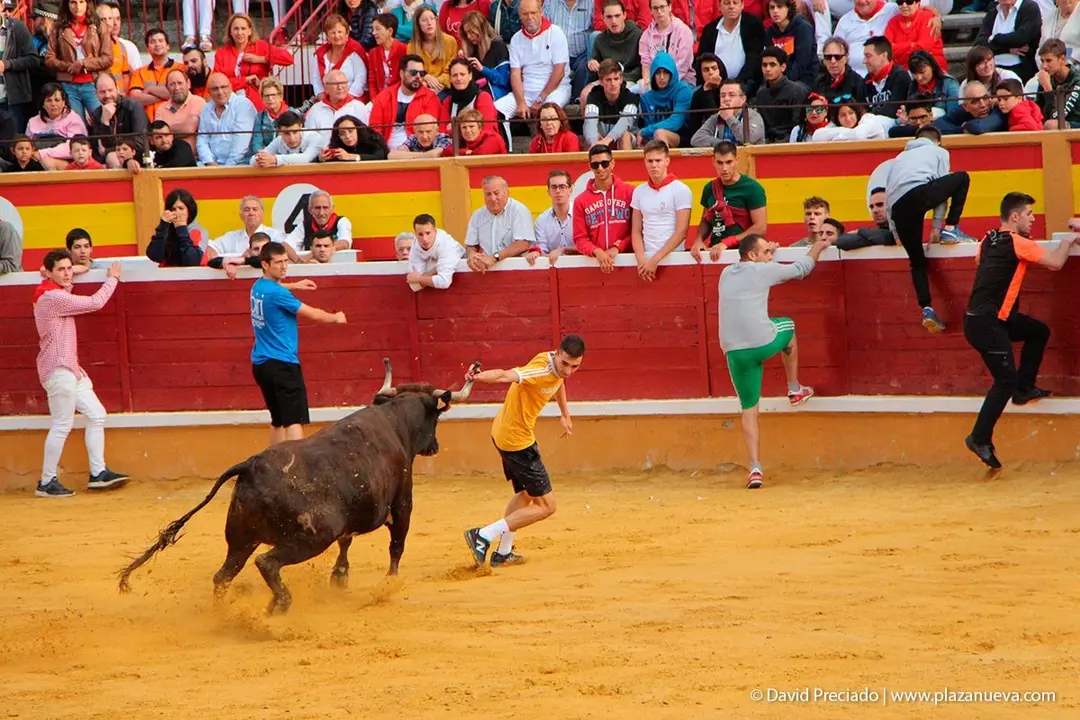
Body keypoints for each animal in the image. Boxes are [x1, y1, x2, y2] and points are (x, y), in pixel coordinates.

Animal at [117, 358, 479, 615]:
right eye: (436, 417)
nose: (434, 446)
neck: (395, 421)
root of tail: (250, 467)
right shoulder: (403, 500)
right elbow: (396, 545)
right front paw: (388, 585)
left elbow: (346, 541)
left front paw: (340, 577)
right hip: (308, 537)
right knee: (267, 563)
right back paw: (278, 605)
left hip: (240, 538)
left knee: (224, 575)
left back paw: (223, 614)